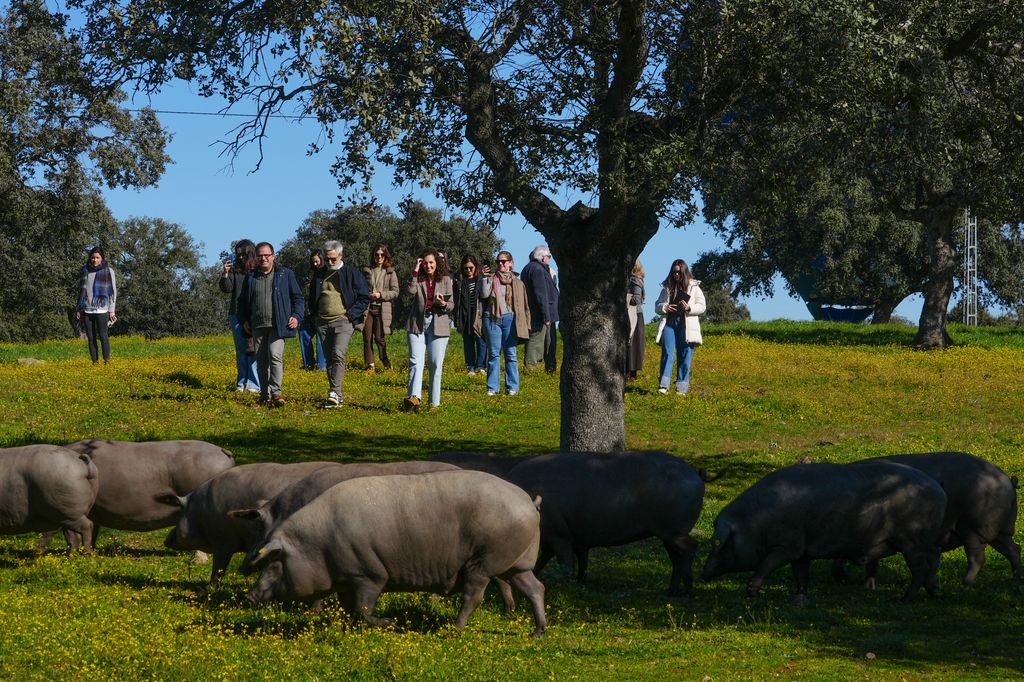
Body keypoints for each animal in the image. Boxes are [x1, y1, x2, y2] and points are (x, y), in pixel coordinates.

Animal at [158, 458, 331, 585]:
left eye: (181, 513)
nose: (165, 541)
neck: (200, 512)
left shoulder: (223, 540)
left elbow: (218, 568)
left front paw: (208, 589)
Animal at [244, 471, 548, 634]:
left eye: (275, 562)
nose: (250, 595)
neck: (319, 544)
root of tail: (528, 501)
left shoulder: (369, 574)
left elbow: (363, 608)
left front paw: (389, 622)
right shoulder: (346, 580)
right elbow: (349, 609)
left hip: (484, 562)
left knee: (474, 596)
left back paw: (452, 631)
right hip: (516, 563)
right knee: (535, 587)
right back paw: (538, 632)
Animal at [501, 448, 704, 593]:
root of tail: (696, 475)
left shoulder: (559, 535)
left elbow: (565, 562)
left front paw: (566, 586)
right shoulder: (568, 537)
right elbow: (569, 560)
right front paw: (580, 582)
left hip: (673, 531)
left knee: (691, 547)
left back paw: (686, 590)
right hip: (668, 534)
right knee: (676, 558)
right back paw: (671, 592)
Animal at [700, 456, 946, 602]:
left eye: (719, 543)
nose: (703, 573)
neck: (755, 524)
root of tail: (938, 489)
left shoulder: (786, 546)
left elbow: (766, 565)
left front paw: (750, 593)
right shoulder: (801, 551)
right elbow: (801, 575)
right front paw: (799, 599)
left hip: (912, 541)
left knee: (920, 569)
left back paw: (905, 599)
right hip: (924, 543)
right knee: (932, 563)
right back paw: (932, 592)